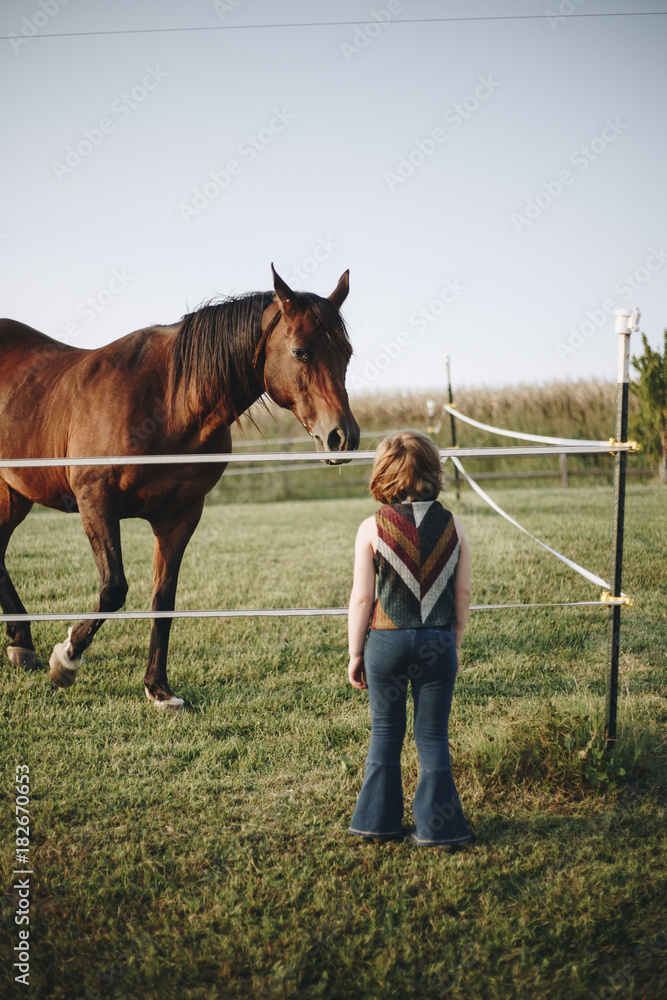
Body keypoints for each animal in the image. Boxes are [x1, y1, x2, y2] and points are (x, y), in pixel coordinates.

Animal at [0, 266, 360, 704]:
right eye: (301, 352)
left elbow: (164, 599)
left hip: (13, 496)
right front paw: (66, 660)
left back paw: (21, 643)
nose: (342, 437)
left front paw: (158, 689)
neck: (168, 402)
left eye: (346, 353)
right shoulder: (95, 501)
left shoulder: (180, 515)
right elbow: (114, 588)